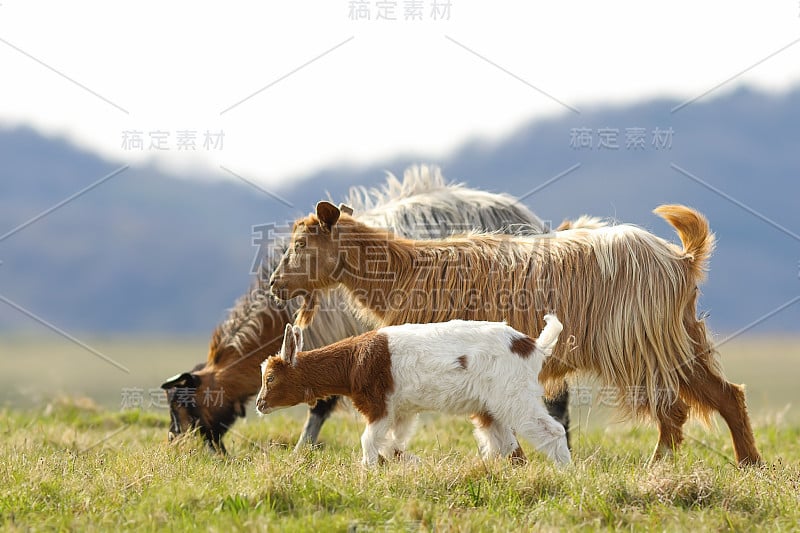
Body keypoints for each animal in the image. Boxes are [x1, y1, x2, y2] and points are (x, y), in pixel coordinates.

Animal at [256, 316, 568, 466]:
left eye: (270, 378)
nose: (259, 404)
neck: (354, 360)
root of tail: (532, 346)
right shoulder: (400, 410)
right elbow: (391, 442)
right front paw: (412, 462)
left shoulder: (378, 403)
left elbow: (369, 440)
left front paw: (369, 471)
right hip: (490, 405)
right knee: (507, 447)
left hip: (514, 394)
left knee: (551, 431)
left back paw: (565, 471)